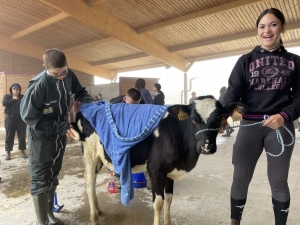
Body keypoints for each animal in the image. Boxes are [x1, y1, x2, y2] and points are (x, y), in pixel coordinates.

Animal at [71, 96, 245, 225]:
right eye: (194, 120)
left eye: (219, 118)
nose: (206, 147)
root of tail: (88, 107)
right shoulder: (155, 170)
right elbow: (158, 203)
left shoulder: (170, 171)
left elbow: (169, 200)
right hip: (89, 154)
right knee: (89, 183)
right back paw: (94, 218)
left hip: (99, 157)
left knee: (90, 180)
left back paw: (98, 209)